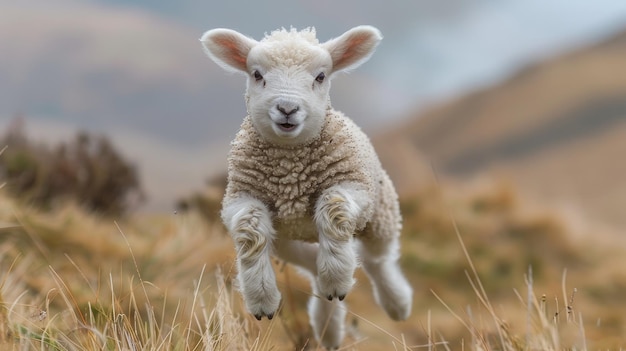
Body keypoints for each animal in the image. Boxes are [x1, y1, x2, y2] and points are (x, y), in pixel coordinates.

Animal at [200, 24, 412, 350]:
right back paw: (328, 324)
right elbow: (250, 229)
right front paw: (262, 301)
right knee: (313, 267)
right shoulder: (240, 197)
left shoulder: (354, 187)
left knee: (377, 261)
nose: (287, 108)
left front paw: (337, 277)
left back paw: (395, 303)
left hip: (381, 213)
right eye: (257, 74)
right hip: (288, 242)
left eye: (320, 76)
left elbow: (334, 208)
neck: (291, 171)